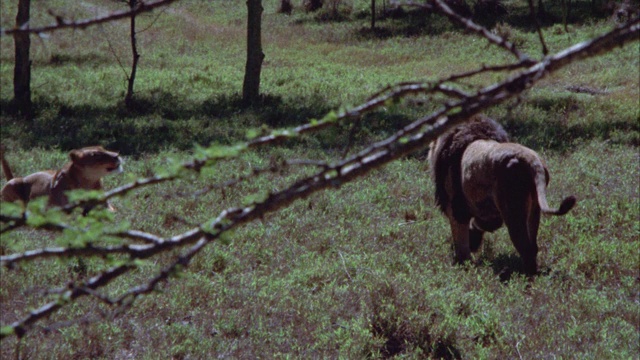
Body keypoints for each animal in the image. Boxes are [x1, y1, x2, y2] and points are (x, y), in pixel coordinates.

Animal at [430, 115, 576, 276]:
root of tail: (532, 160)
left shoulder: (455, 207)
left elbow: (460, 241)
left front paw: (462, 264)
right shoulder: (487, 210)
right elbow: (482, 225)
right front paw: (473, 239)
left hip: (513, 212)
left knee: (525, 247)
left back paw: (524, 277)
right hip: (533, 209)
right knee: (533, 246)